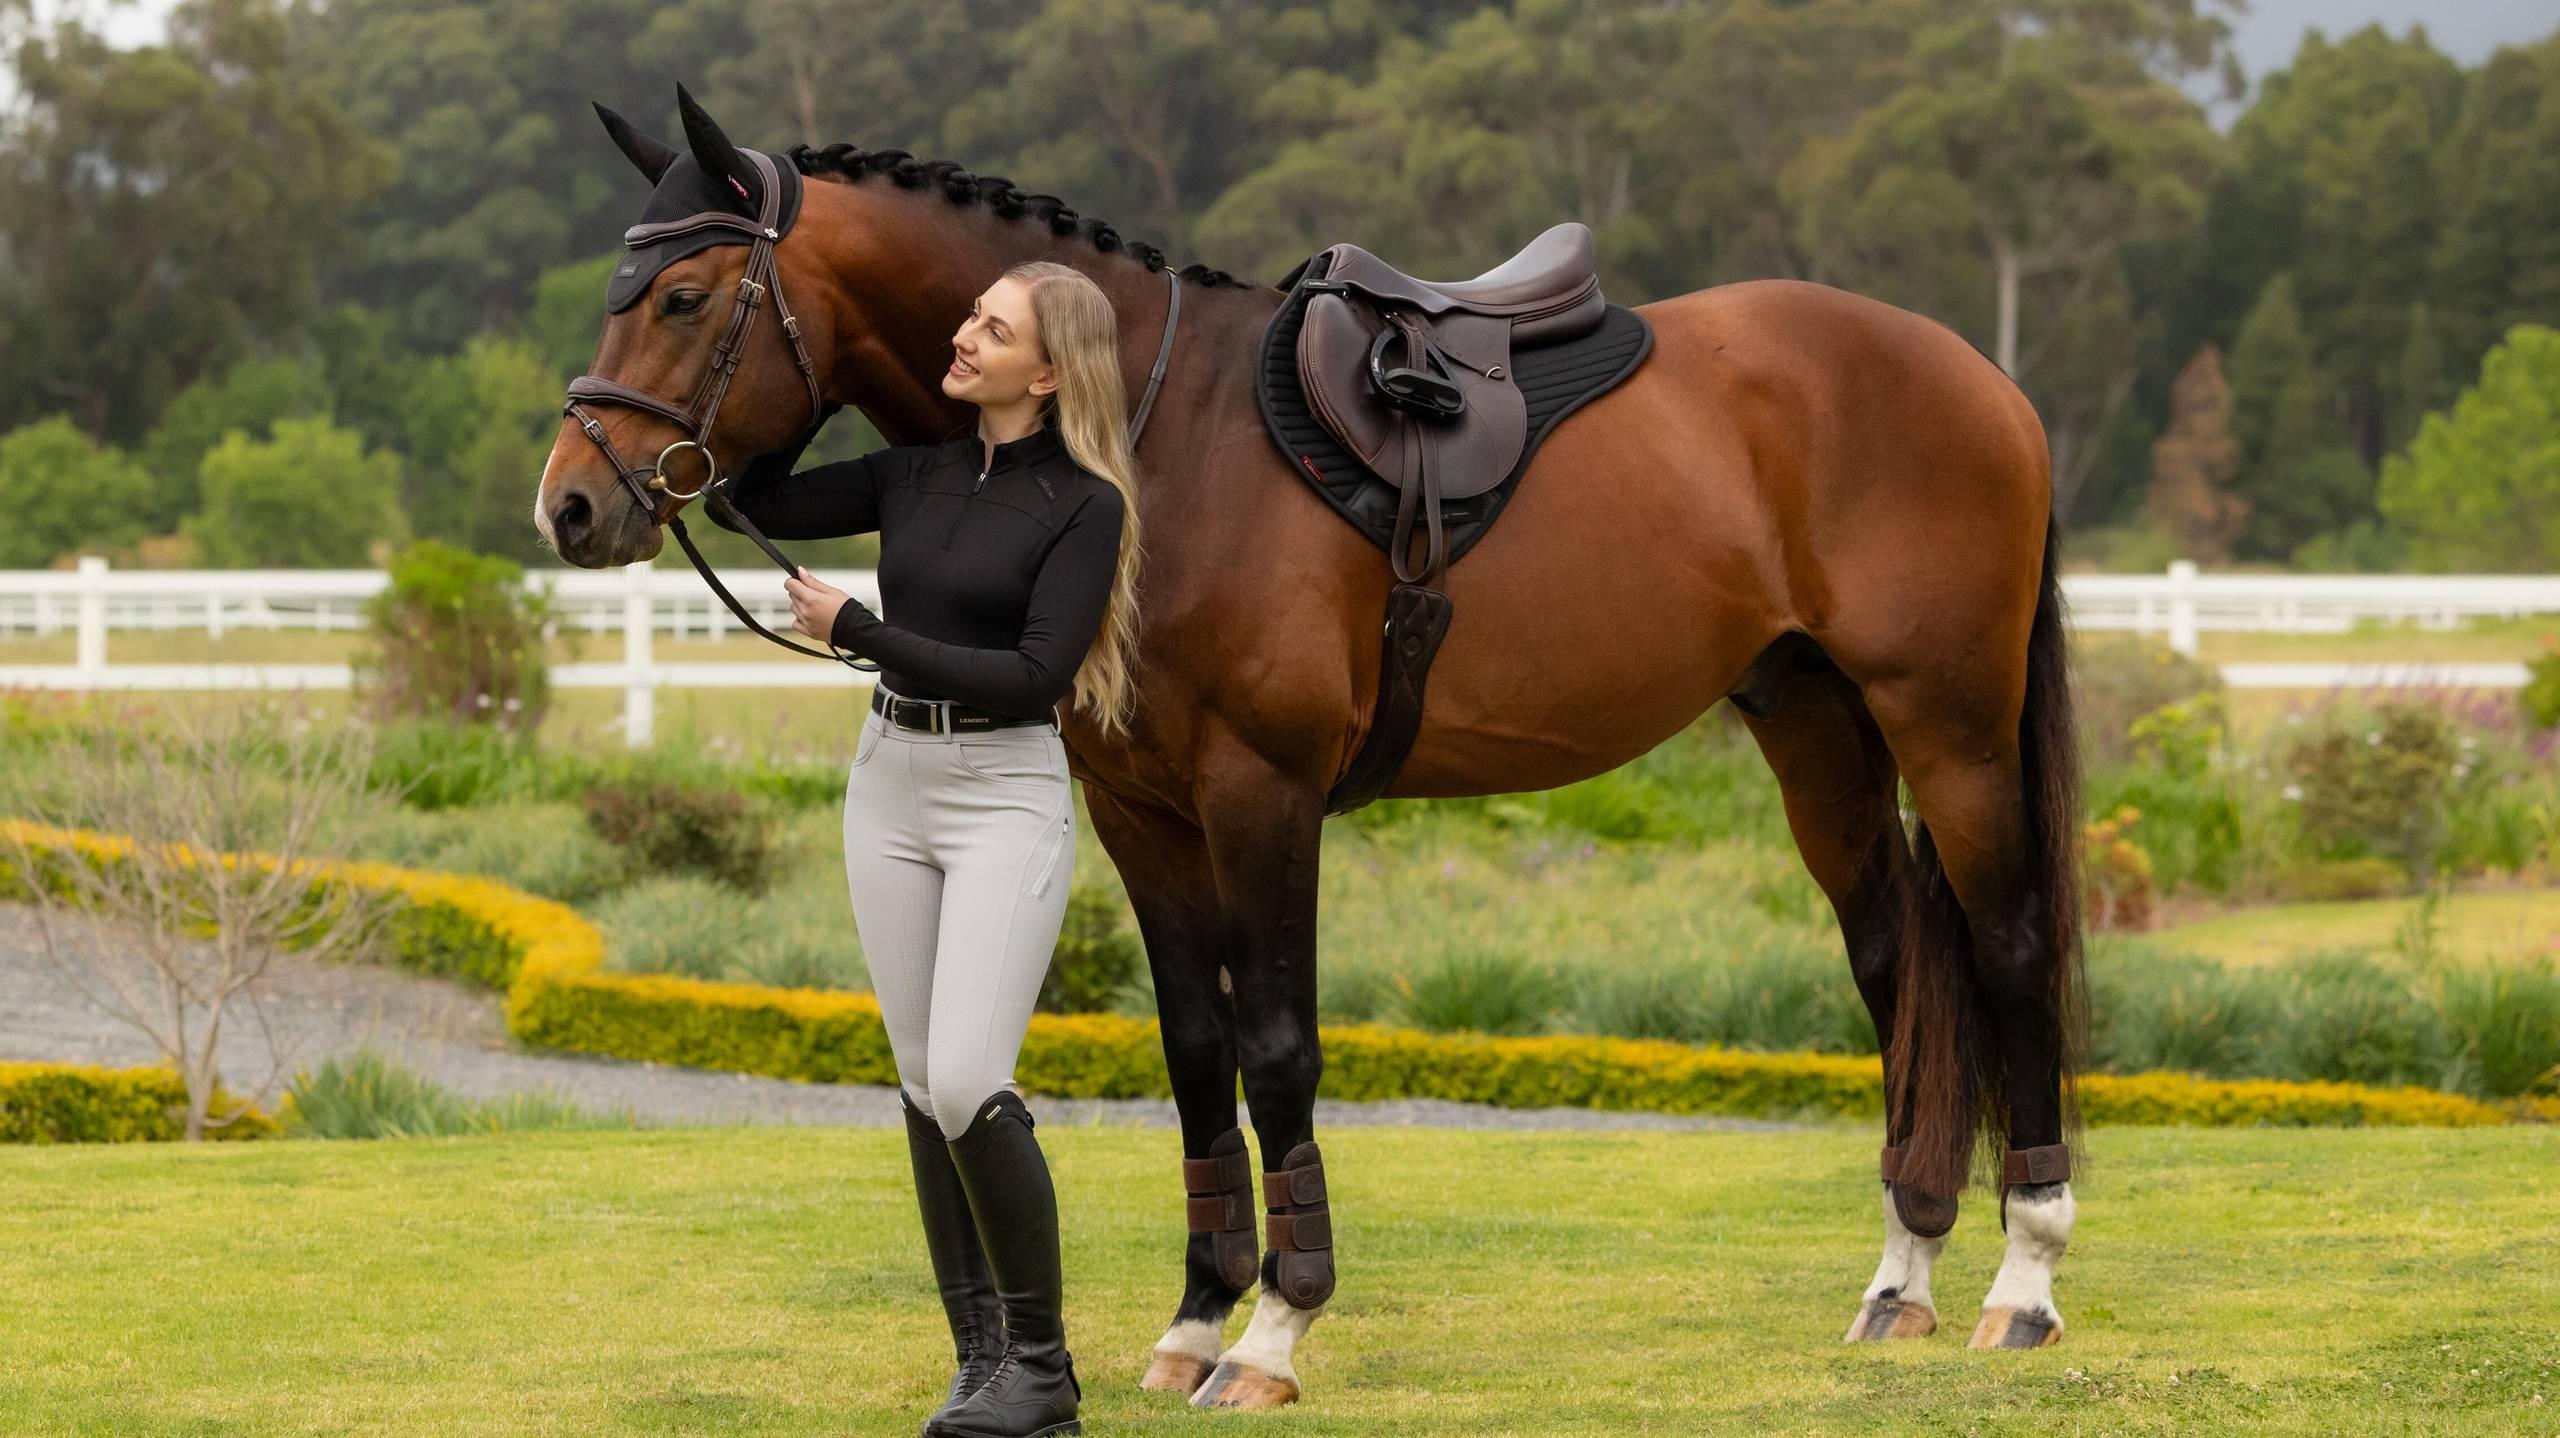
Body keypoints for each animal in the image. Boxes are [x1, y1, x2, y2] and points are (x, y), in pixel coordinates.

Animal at [535, 88, 2087, 1408]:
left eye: (681, 296)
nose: (569, 507)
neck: (1157, 437)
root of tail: (1986, 380)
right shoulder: (1143, 810)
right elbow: (1194, 1046)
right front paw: (1193, 1317)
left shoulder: (1261, 794)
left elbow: (1278, 1046)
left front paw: (1274, 1330)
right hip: (1815, 721)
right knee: (1894, 962)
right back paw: (1902, 1274)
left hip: (1946, 723)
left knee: (2008, 948)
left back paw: (2022, 1278)